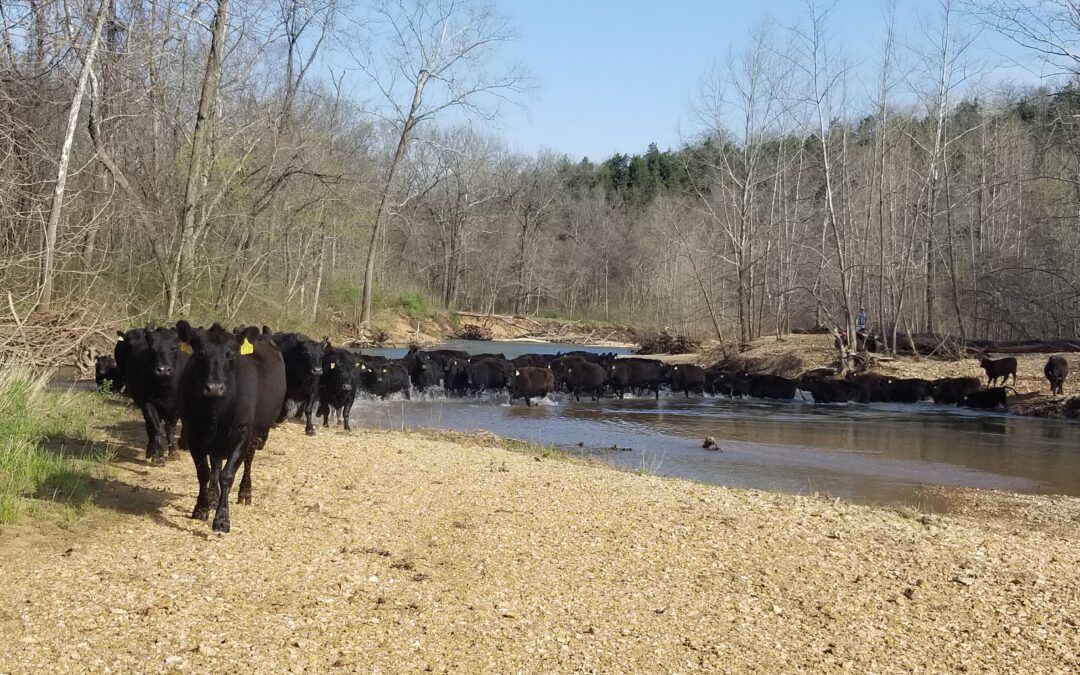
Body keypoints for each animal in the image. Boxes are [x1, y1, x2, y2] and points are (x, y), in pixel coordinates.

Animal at [123, 326, 187, 462]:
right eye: (152, 349)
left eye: (174, 348)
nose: (163, 370)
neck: (165, 387)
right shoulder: (148, 403)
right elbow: (156, 428)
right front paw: (158, 456)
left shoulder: (176, 408)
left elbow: (170, 428)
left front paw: (173, 453)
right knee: (150, 428)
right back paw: (150, 451)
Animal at [172, 321, 285, 531]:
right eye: (200, 352)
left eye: (230, 354)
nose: (214, 388)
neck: (216, 411)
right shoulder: (193, 433)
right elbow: (204, 472)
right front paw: (201, 508)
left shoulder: (242, 434)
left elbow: (228, 475)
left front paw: (222, 518)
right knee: (216, 463)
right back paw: (212, 496)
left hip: (256, 433)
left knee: (248, 460)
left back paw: (245, 492)